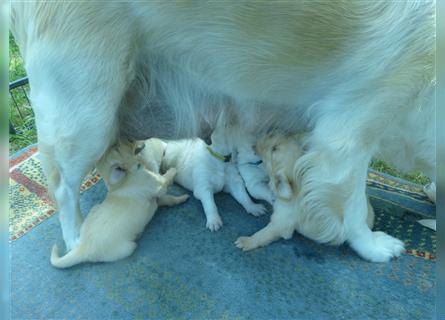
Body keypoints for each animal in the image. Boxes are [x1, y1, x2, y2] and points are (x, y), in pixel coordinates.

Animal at [49, 141, 187, 268]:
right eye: (119, 146)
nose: (142, 143)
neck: (121, 182)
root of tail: (84, 248)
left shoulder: (157, 197)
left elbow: (168, 199)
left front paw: (180, 198)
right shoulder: (157, 185)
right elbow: (166, 178)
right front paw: (174, 170)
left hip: (94, 209)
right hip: (128, 247)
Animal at [234, 131, 372, 251]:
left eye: (274, 149)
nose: (271, 131)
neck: (296, 186)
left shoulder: (281, 223)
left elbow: (263, 234)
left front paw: (247, 241)